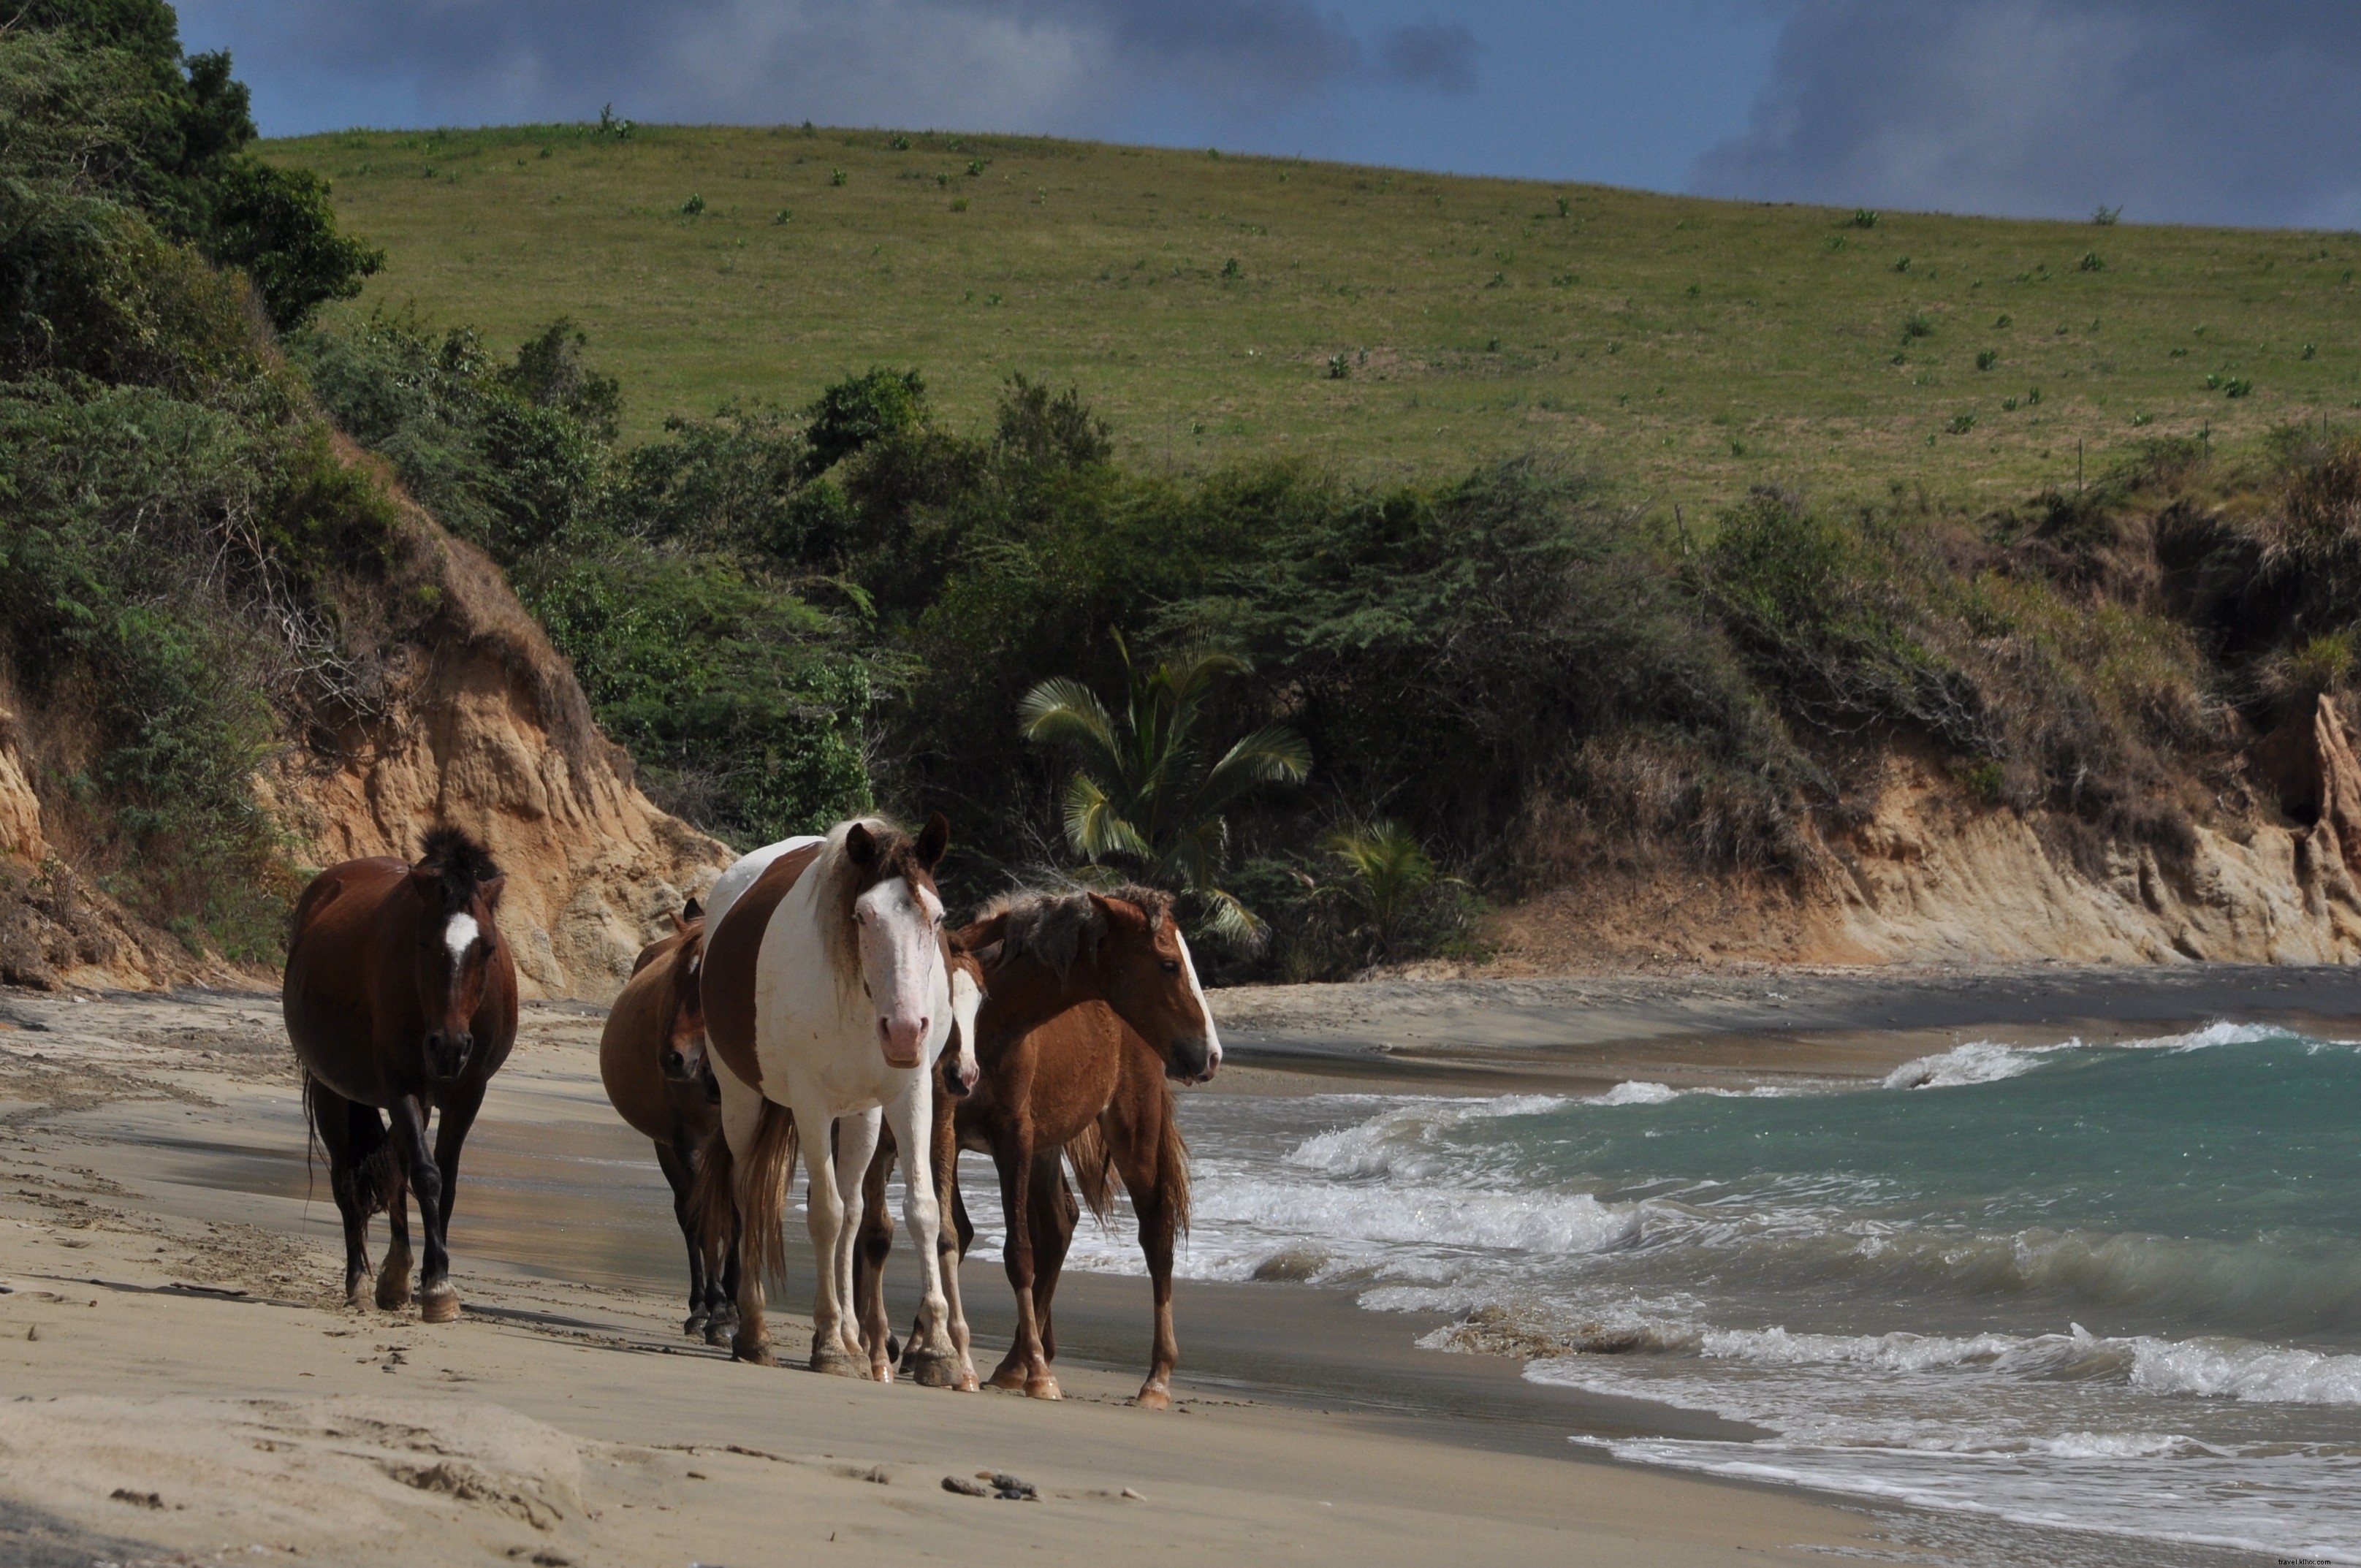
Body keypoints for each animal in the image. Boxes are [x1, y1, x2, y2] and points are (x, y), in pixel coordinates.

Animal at [283, 826, 519, 1312]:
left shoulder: (468, 1095)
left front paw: (432, 1277)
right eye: (422, 942)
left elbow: (444, 1180)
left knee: (393, 1166)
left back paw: (395, 1275)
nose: (449, 1048)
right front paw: (437, 1284)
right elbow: (426, 1175)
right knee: (346, 1179)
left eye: (487, 948)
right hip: (334, 1093)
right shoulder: (400, 1087)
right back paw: (360, 1281)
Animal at [595, 902, 731, 1341]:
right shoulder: (691, 1144)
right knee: (688, 1216)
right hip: (667, 1148)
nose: (674, 1059)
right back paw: (700, 1307)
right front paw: (717, 1311)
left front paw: (733, 1310)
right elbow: (709, 1220)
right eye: (674, 980)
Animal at [693, 812, 963, 1379]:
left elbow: (920, 1210)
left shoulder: (911, 1095)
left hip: (861, 1114)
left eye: (936, 917)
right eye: (861, 916)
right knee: (749, 1195)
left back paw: (857, 1340)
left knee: (855, 1209)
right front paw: (831, 1345)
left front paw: (938, 1351)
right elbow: (825, 1215)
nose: (904, 1032)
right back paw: (755, 1332)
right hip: (742, 1100)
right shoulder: (810, 1104)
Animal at [854, 883, 1218, 1407]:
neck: (999, 1024)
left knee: (1155, 1234)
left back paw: (1153, 1378)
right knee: (1061, 1221)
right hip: (1050, 1143)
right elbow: (947, 1230)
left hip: (1132, 1126)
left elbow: (1016, 1251)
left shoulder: (1013, 1133)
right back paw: (1013, 1362)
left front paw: (1032, 1372)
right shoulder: (948, 1129)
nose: (1208, 1055)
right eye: (1170, 964)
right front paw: (922, 1347)